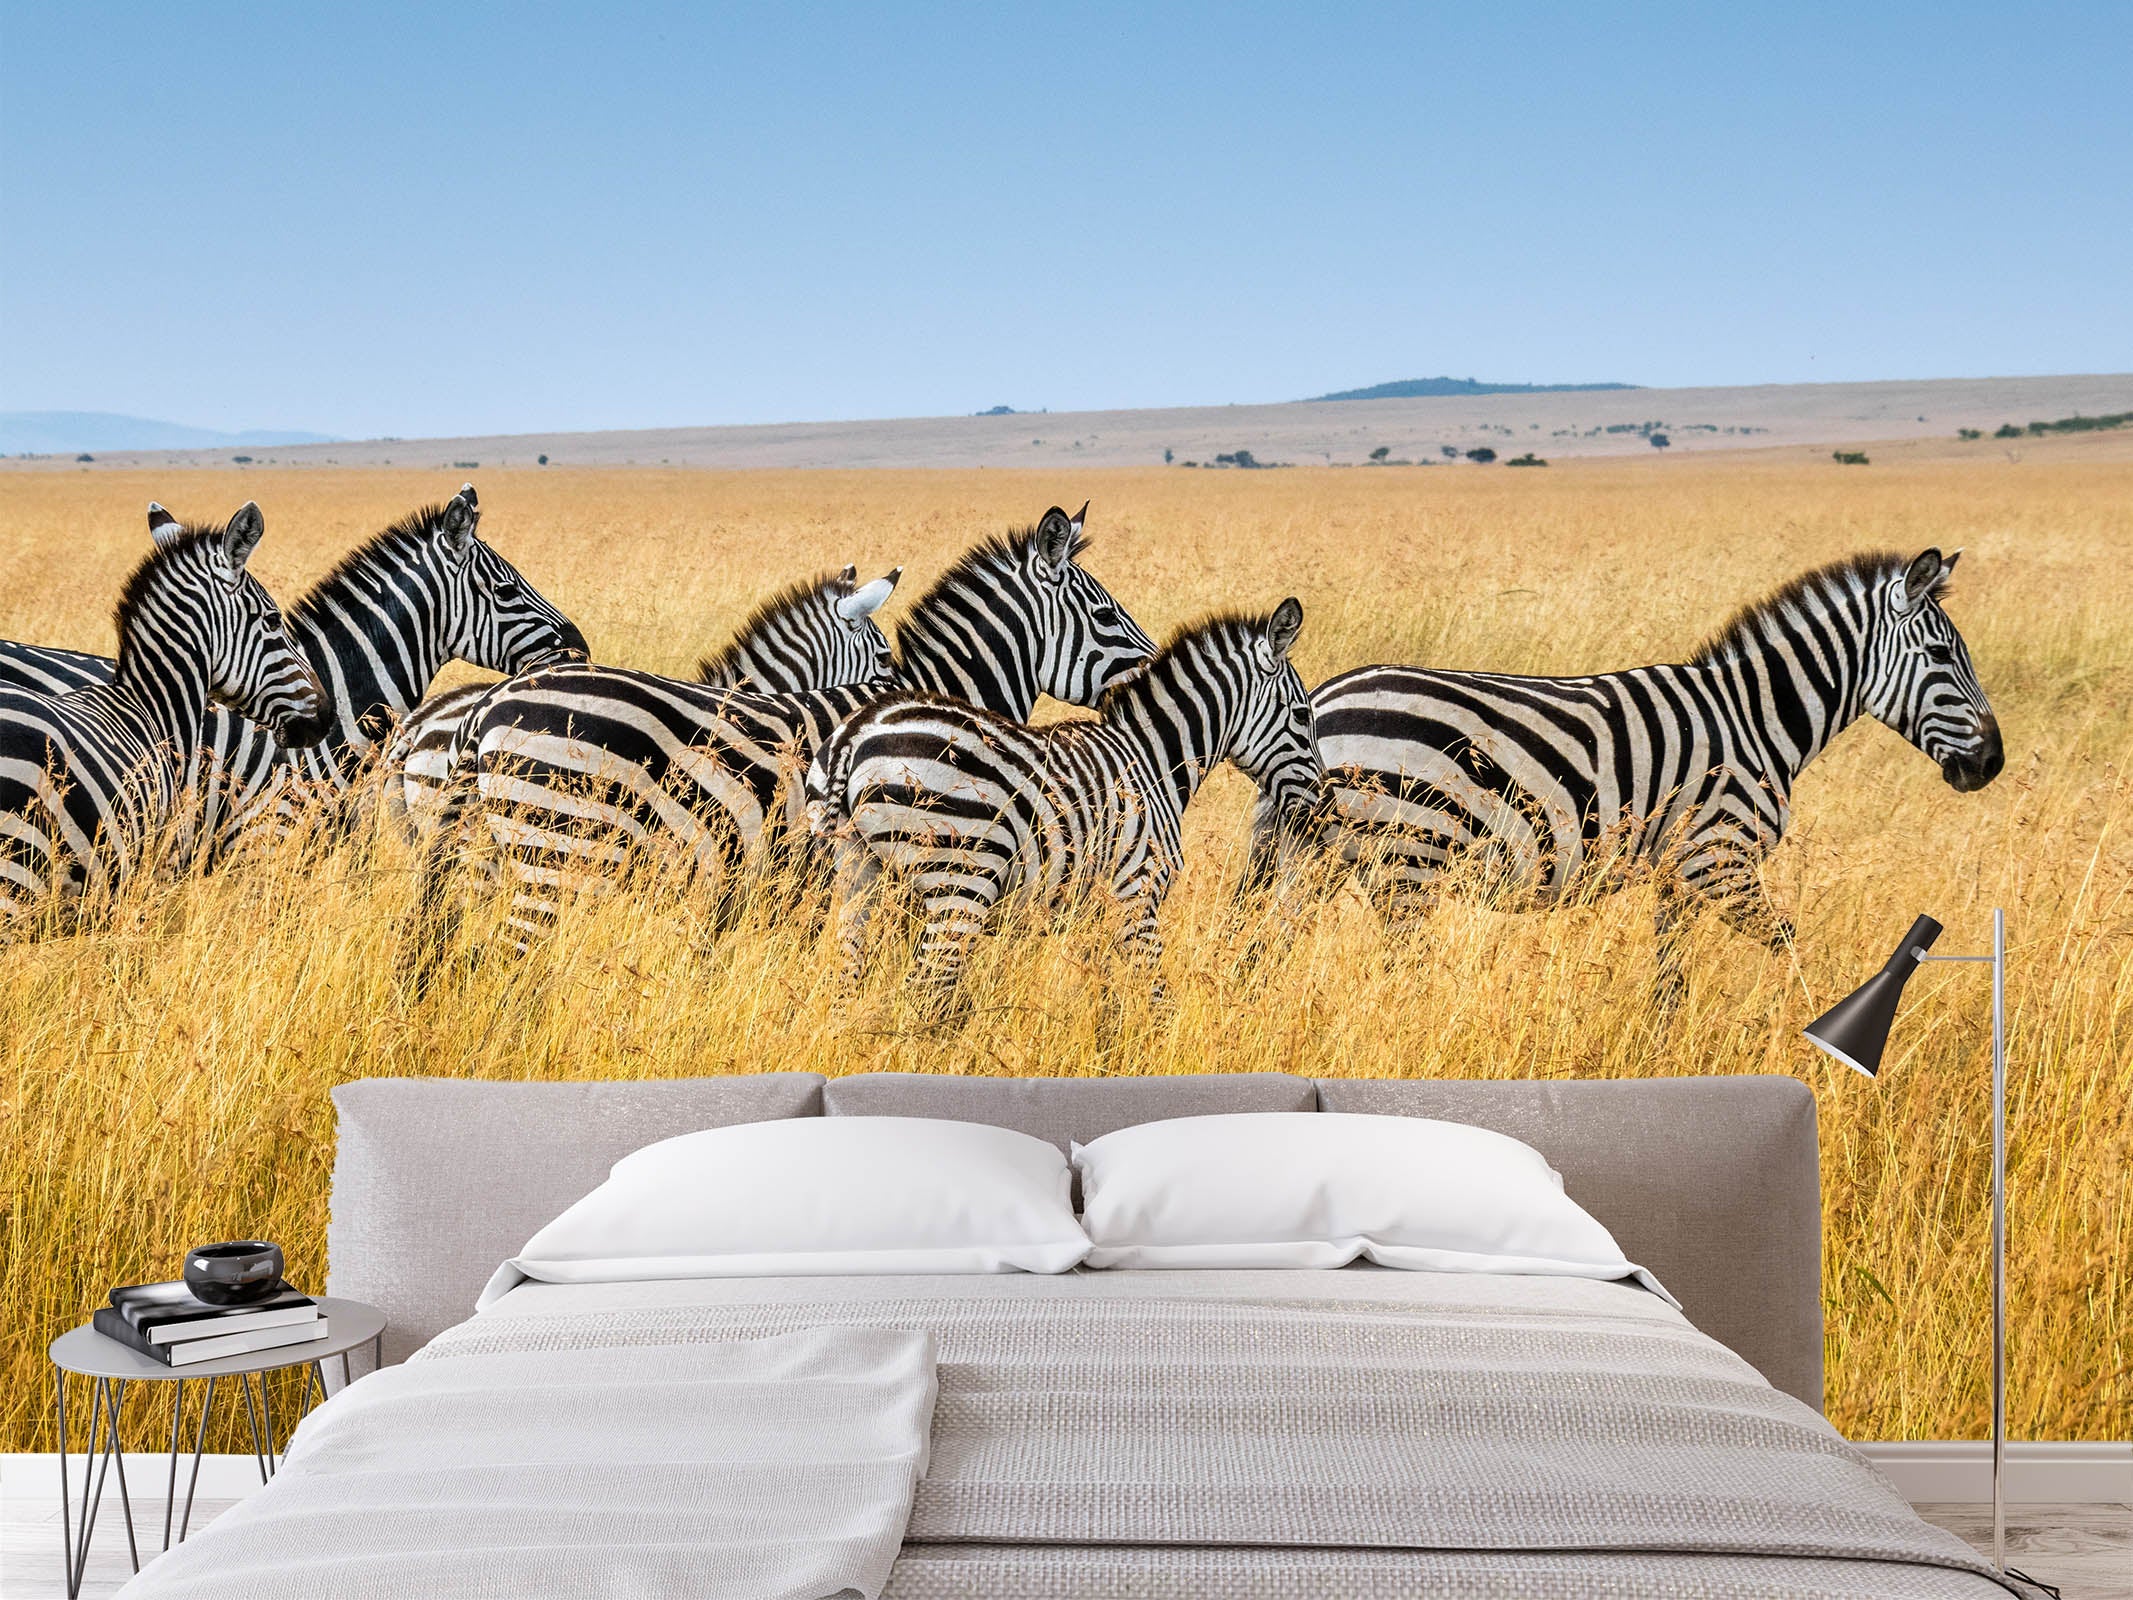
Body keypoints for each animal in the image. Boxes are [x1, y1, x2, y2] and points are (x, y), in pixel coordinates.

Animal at [809, 600, 1318, 1019]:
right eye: (1301, 715)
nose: (1319, 804)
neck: (1152, 760)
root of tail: (857, 732)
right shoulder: (1138, 893)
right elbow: (1155, 995)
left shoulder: (1095, 910)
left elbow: (1109, 996)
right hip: (960, 881)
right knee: (924, 988)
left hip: (858, 872)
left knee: (847, 982)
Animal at [1243, 548, 2003, 999]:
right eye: (1943, 655)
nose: (1992, 764)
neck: (1755, 718)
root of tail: (1323, 699)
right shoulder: (1718, 859)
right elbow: (1791, 947)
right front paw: (1816, 1027)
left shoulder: (1678, 873)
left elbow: (1670, 980)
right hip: (1408, 857)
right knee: (1395, 971)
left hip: (1316, 859)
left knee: (1263, 950)